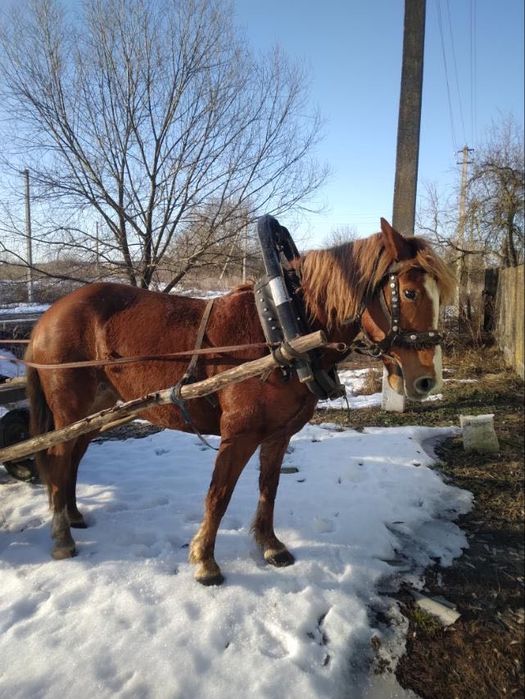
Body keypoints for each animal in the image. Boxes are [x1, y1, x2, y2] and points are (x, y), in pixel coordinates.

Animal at [25, 218, 455, 585]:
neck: (282, 330)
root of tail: (48, 316)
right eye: (410, 292)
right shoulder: (238, 435)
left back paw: (73, 515)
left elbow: (269, 488)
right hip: (70, 409)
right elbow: (219, 495)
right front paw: (205, 562)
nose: (427, 380)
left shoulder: (278, 435)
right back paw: (62, 535)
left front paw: (270, 546)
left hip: (95, 411)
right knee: (59, 459)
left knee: (74, 457)